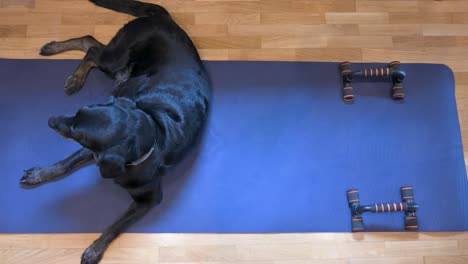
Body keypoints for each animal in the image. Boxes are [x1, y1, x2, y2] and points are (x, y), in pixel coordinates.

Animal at [19, 1, 210, 262]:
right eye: (78, 112)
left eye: (78, 132)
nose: (50, 121)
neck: (153, 131)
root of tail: (164, 17)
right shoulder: (92, 151)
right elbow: (64, 164)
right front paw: (40, 174)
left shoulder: (147, 198)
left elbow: (115, 226)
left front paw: (94, 250)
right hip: (116, 59)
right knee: (90, 46)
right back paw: (67, 65)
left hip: (116, 63)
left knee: (90, 46)